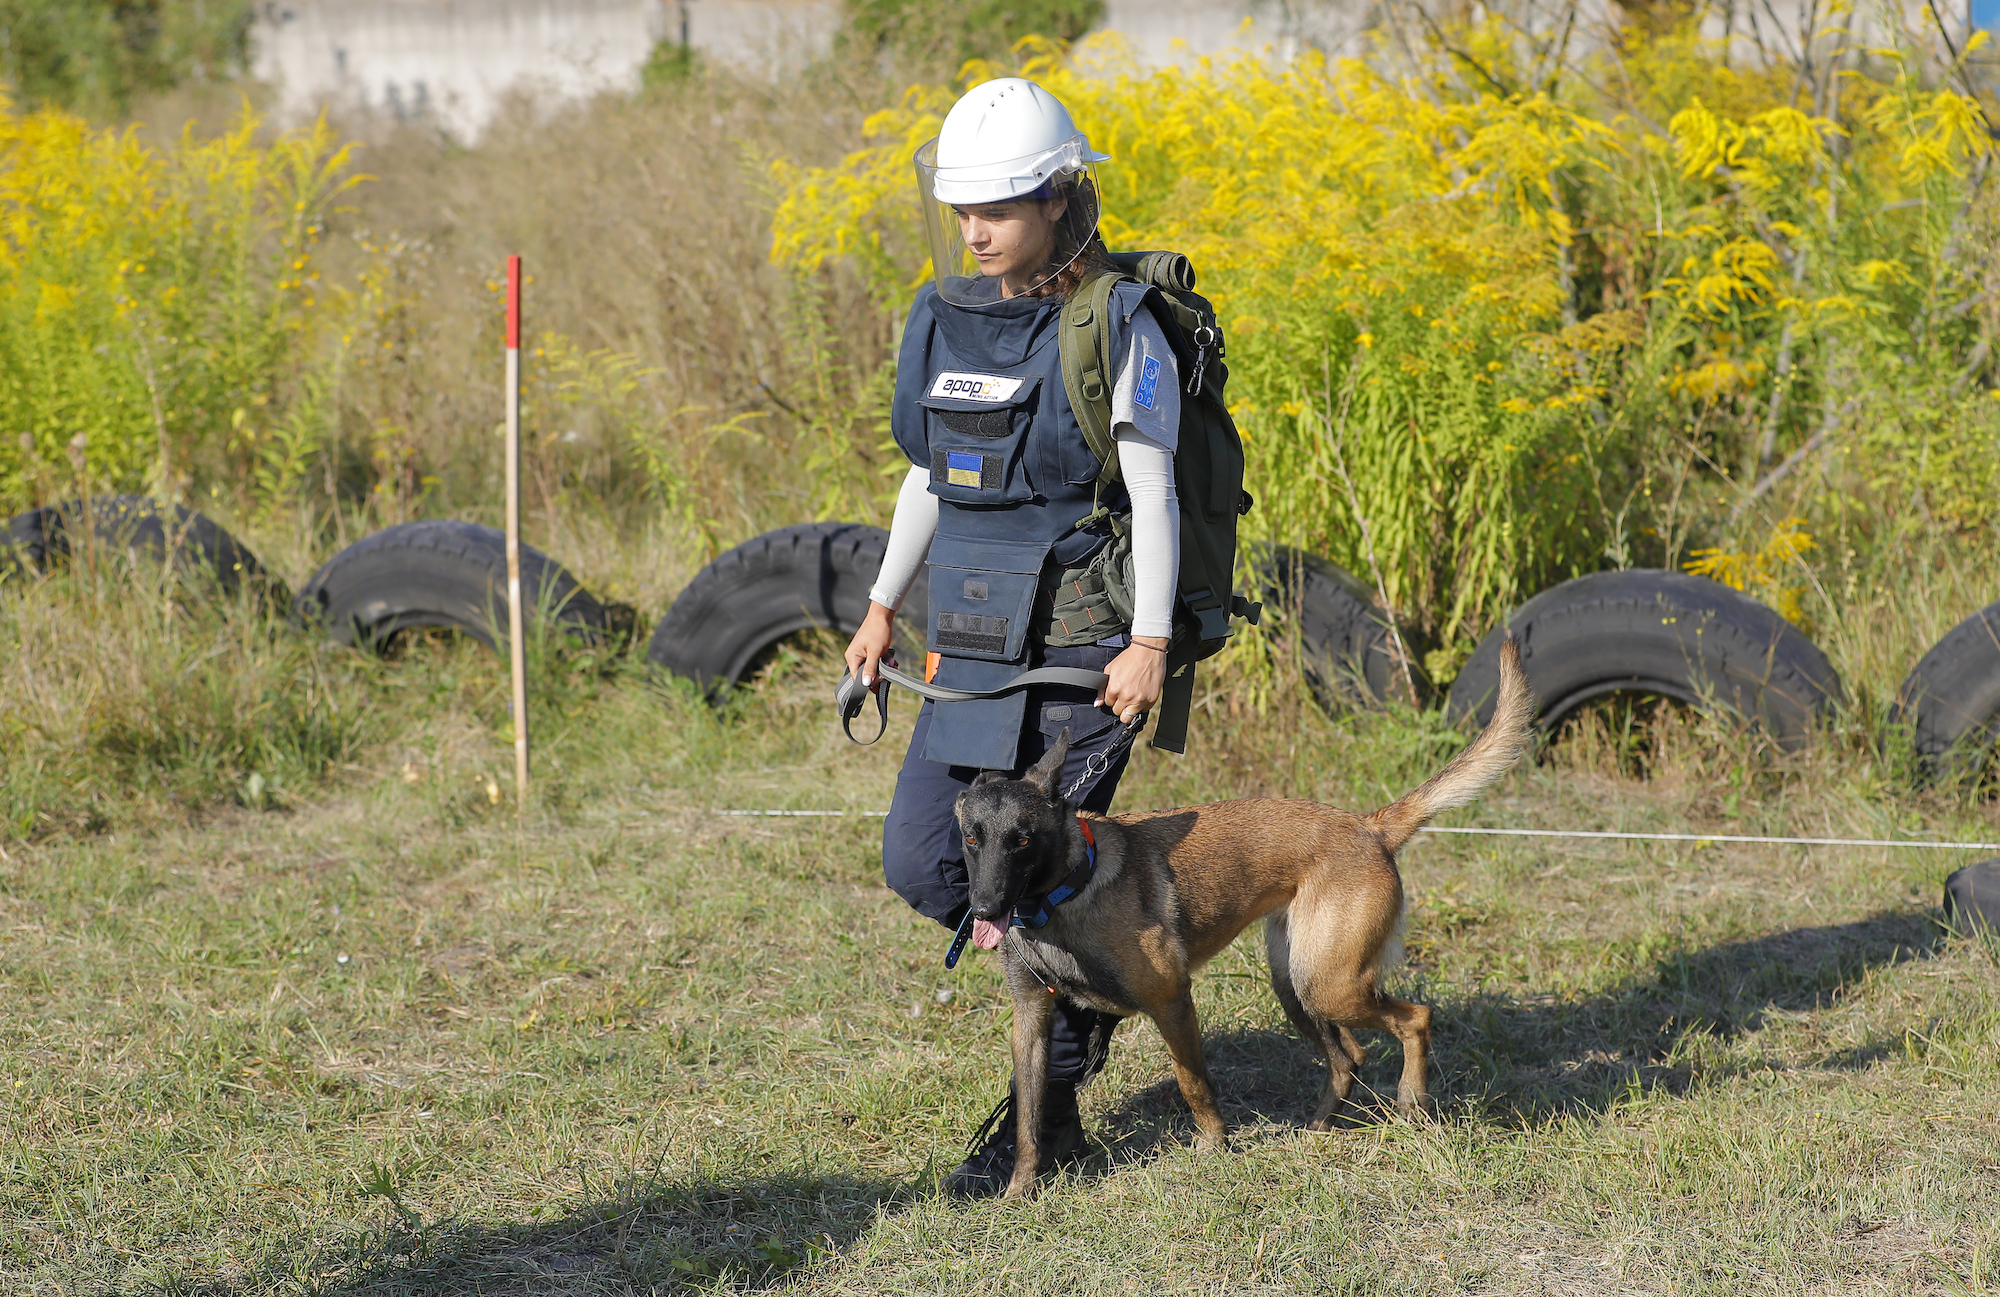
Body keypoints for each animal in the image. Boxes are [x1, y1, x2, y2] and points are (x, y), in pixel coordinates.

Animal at [960, 636, 1536, 1192]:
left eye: (1022, 840)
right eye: (972, 839)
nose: (984, 909)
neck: (1063, 893)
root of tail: (1370, 826)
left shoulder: (1171, 1000)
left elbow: (1193, 1082)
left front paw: (1214, 1145)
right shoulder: (1031, 1019)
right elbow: (1029, 1113)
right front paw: (1018, 1189)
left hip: (1330, 985)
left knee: (1417, 1018)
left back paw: (1411, 1101)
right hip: (1296, 983)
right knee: (1349, 1055)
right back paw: (1318, 1128)